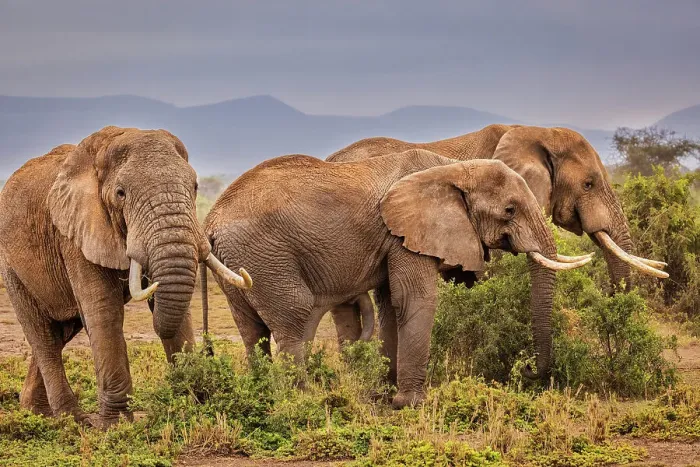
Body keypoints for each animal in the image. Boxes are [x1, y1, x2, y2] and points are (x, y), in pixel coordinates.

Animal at [0, 126, 251, 428]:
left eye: (195, 187)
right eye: (121, 193)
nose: (209, 353)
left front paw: (191, 406)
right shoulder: (74, 236)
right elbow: (103, 312)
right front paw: (117, 425)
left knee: (62, 331)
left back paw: (36, 412)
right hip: (10, 266)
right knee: (44, 337)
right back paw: (73, 421)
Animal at [202, 150, 592, 408]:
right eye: (509, 210)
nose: (527, 372)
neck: (453, 169)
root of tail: (210, 222)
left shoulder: (395, 238)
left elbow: (391, 303)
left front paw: (386, 394)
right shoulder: (408, 233)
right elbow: (415, 299)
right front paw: (411, 403)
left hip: (240, 263)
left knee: (252, 332)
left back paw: (265, 392)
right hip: (266, 257)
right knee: (292, 320)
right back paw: (303, 399)